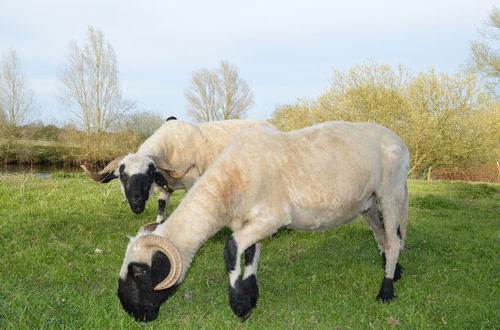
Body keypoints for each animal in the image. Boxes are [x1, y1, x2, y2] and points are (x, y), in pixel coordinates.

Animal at [81, 117, 274, 220]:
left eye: (149, 174)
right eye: (122, 175)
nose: (136, 202)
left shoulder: (191, 182)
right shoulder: (165, 188)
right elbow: (161, 207)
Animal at [118, 121, 410, 322]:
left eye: (139, 272)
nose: (131, 312)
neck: (227, 184)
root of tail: (399, 140)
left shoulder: (273, 217)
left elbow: (231, 250)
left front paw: (239, 305)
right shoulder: (248, 221)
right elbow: (249, 255)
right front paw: (250, 296)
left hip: (390, 191)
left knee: (394, 240)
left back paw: (385, 291)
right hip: (368, 202)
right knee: (384, 235)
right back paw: (393, 271)